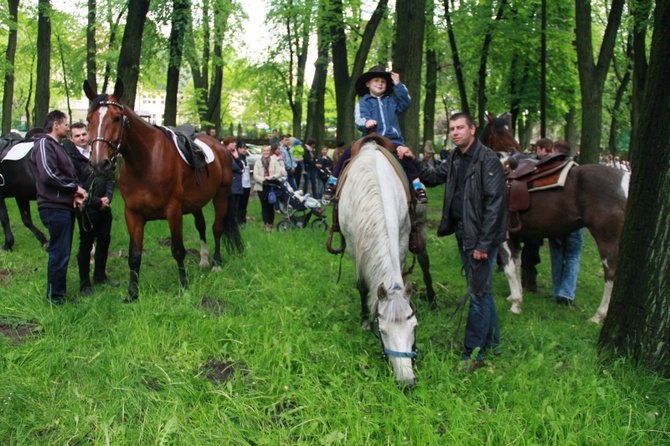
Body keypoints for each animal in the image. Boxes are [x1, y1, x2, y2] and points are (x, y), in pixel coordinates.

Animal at [82, 79, 243, 304]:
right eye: (89, 119)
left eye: (116, 118)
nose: (99, 163)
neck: (146, 163)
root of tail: (221, 147)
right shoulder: (132, 214)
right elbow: (134, 254)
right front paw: (132, 293)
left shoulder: (173, 211)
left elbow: (178, 250)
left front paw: (184, 287)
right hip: (195, 203)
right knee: (201, 226)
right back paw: (204, 259)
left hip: (221, 195)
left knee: (216, 228)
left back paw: (216, 263)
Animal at [342, 134, 420, 386]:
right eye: (382, 331)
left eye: (414, 327)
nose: (406, 380)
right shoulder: (354, 245)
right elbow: (362, 285)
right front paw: (365, 321)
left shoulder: (403, 235)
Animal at [484, 113, 632, 322]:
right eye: (499, 131)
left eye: (509, 130)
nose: (515, 150)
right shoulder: (516, 235)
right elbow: (518, 264)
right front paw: (515, 296)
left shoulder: (504, 235)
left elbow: (509, 267)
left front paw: (516, 304)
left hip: (607, 240)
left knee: (610, 273)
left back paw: (598, 315)